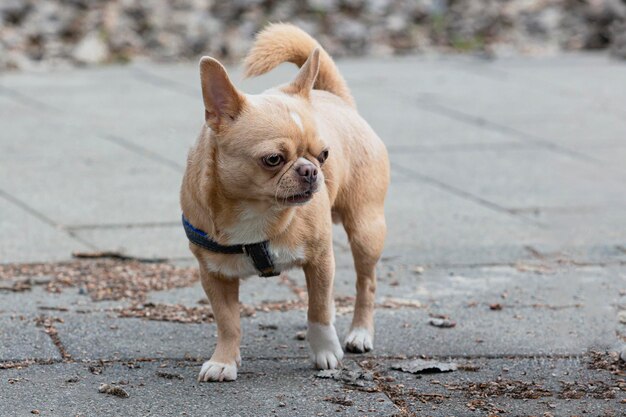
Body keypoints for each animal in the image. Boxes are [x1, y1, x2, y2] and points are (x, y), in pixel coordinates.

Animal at [178, 22, 388, 380]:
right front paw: (224, 360)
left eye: (324, 155)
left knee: (366, 283)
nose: (311, 170)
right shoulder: (215, 275)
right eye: (273, 159)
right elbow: (228, 321)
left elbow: (318, 311)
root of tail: (336, 97)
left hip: (365, 229)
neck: (257, 209)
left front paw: (325, 352)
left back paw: (360, 332)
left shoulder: (320, 259)